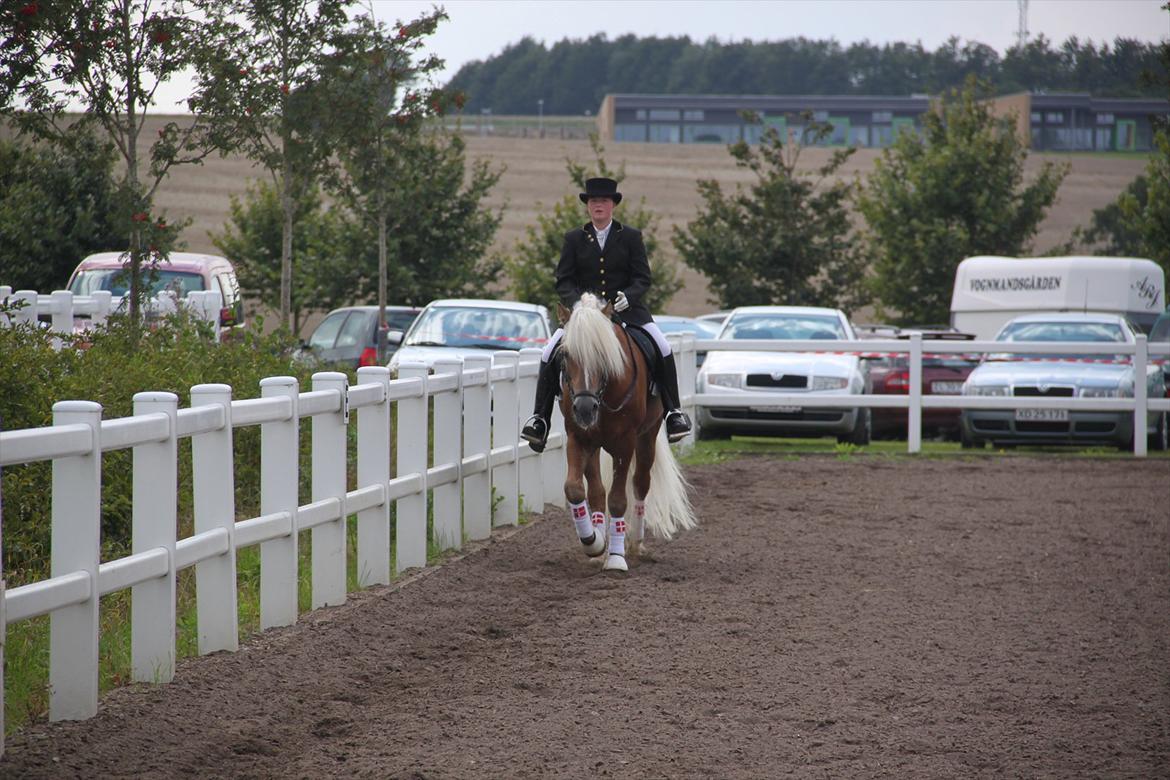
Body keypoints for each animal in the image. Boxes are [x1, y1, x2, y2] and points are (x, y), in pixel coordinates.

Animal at [554, 292, 692, 573]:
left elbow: (618, 499)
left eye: (602, 354)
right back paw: (598, 539)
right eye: (565, 354)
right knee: (596, 490)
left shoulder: (625, 444)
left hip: (647, 436)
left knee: (640, 483)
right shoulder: (578, 437)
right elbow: (574, 489)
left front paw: (616, 558)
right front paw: (593, 542)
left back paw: (635, 542)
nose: (584, 409)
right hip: (593, 443)